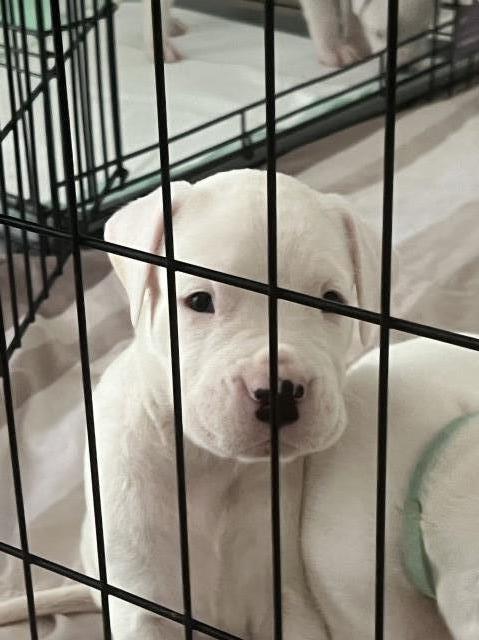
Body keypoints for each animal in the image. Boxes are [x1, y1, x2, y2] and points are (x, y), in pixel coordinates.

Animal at [81, 168, 382, 636]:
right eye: (200, 301)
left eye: (331, 301)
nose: (279, 393)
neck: (212, 467)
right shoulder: (141, 602)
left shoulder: (284, 597)